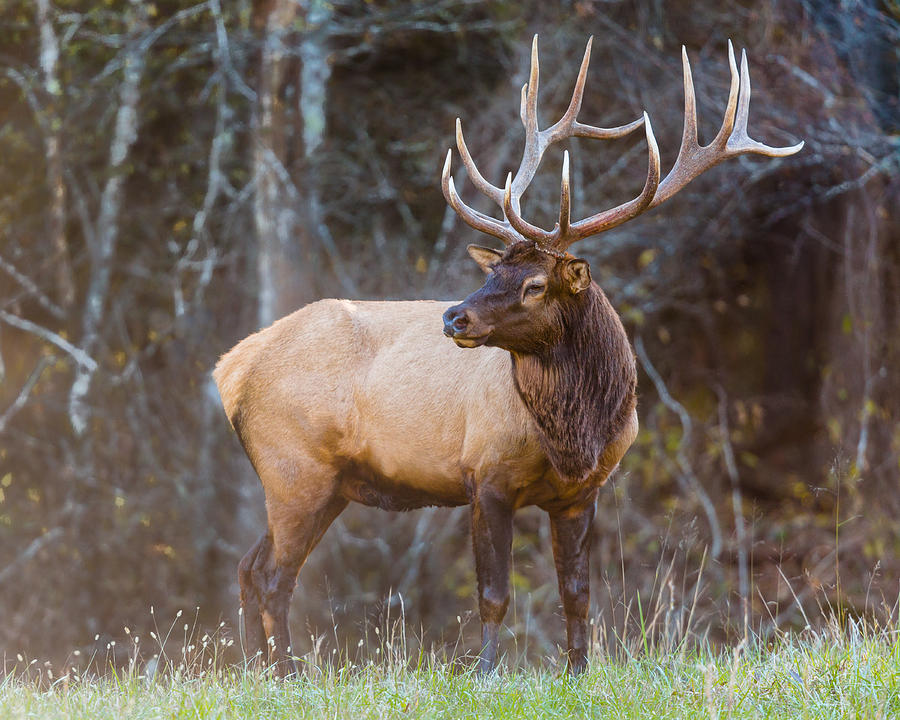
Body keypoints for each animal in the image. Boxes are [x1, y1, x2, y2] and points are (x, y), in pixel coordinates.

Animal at [213, 35, 800, 676]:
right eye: (493, 272)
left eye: (535, 284)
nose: (454, 316)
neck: (574, 437)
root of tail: (231, 368)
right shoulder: (485, 473)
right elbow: (493, 592)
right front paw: (487, 671)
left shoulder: (583, 492)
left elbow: (577, 591)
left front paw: (577, 670)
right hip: (294, 468)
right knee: (274, 576)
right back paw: (284, 673)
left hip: (324, 484)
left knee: (249, 568)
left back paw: (258, 670)